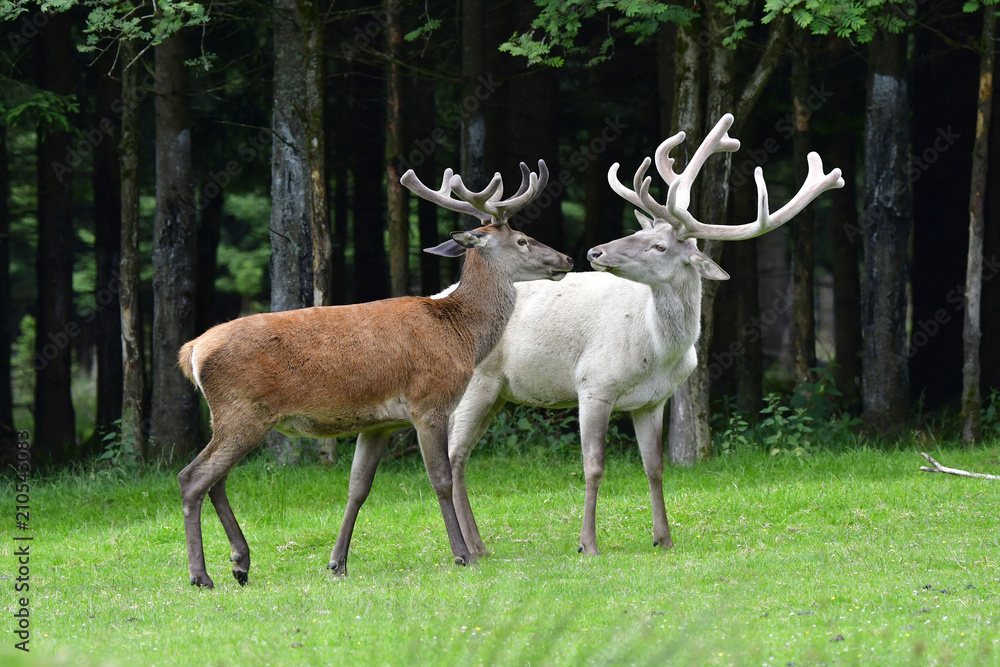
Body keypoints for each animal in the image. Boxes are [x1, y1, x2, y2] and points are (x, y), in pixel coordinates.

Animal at [176, 160, 573, 587]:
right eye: (523, 240)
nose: (566, 259)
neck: (460, 334)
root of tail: (192, 351)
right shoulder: (429, 402)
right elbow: (441, 478)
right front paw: (463, 555)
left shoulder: (379, 423)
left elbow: (358, 488)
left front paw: (337, 563)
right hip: (242, 410)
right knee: (193, 477)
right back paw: (201, 575)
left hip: (233, 417)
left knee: (217, 480)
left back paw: (240, 562)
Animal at [445, 113, 844, 557]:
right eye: (638, 235)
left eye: (658, 246)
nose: (594, 252)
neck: (655, 352)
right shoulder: (593, 385)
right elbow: (594, 466)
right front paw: (588, 544)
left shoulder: (654, 400)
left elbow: (655, 467)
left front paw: (663, 537)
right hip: (478, 382)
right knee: (454, 454)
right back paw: (472, 548)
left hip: (498, 392)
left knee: (461, 455)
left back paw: (477, 546)